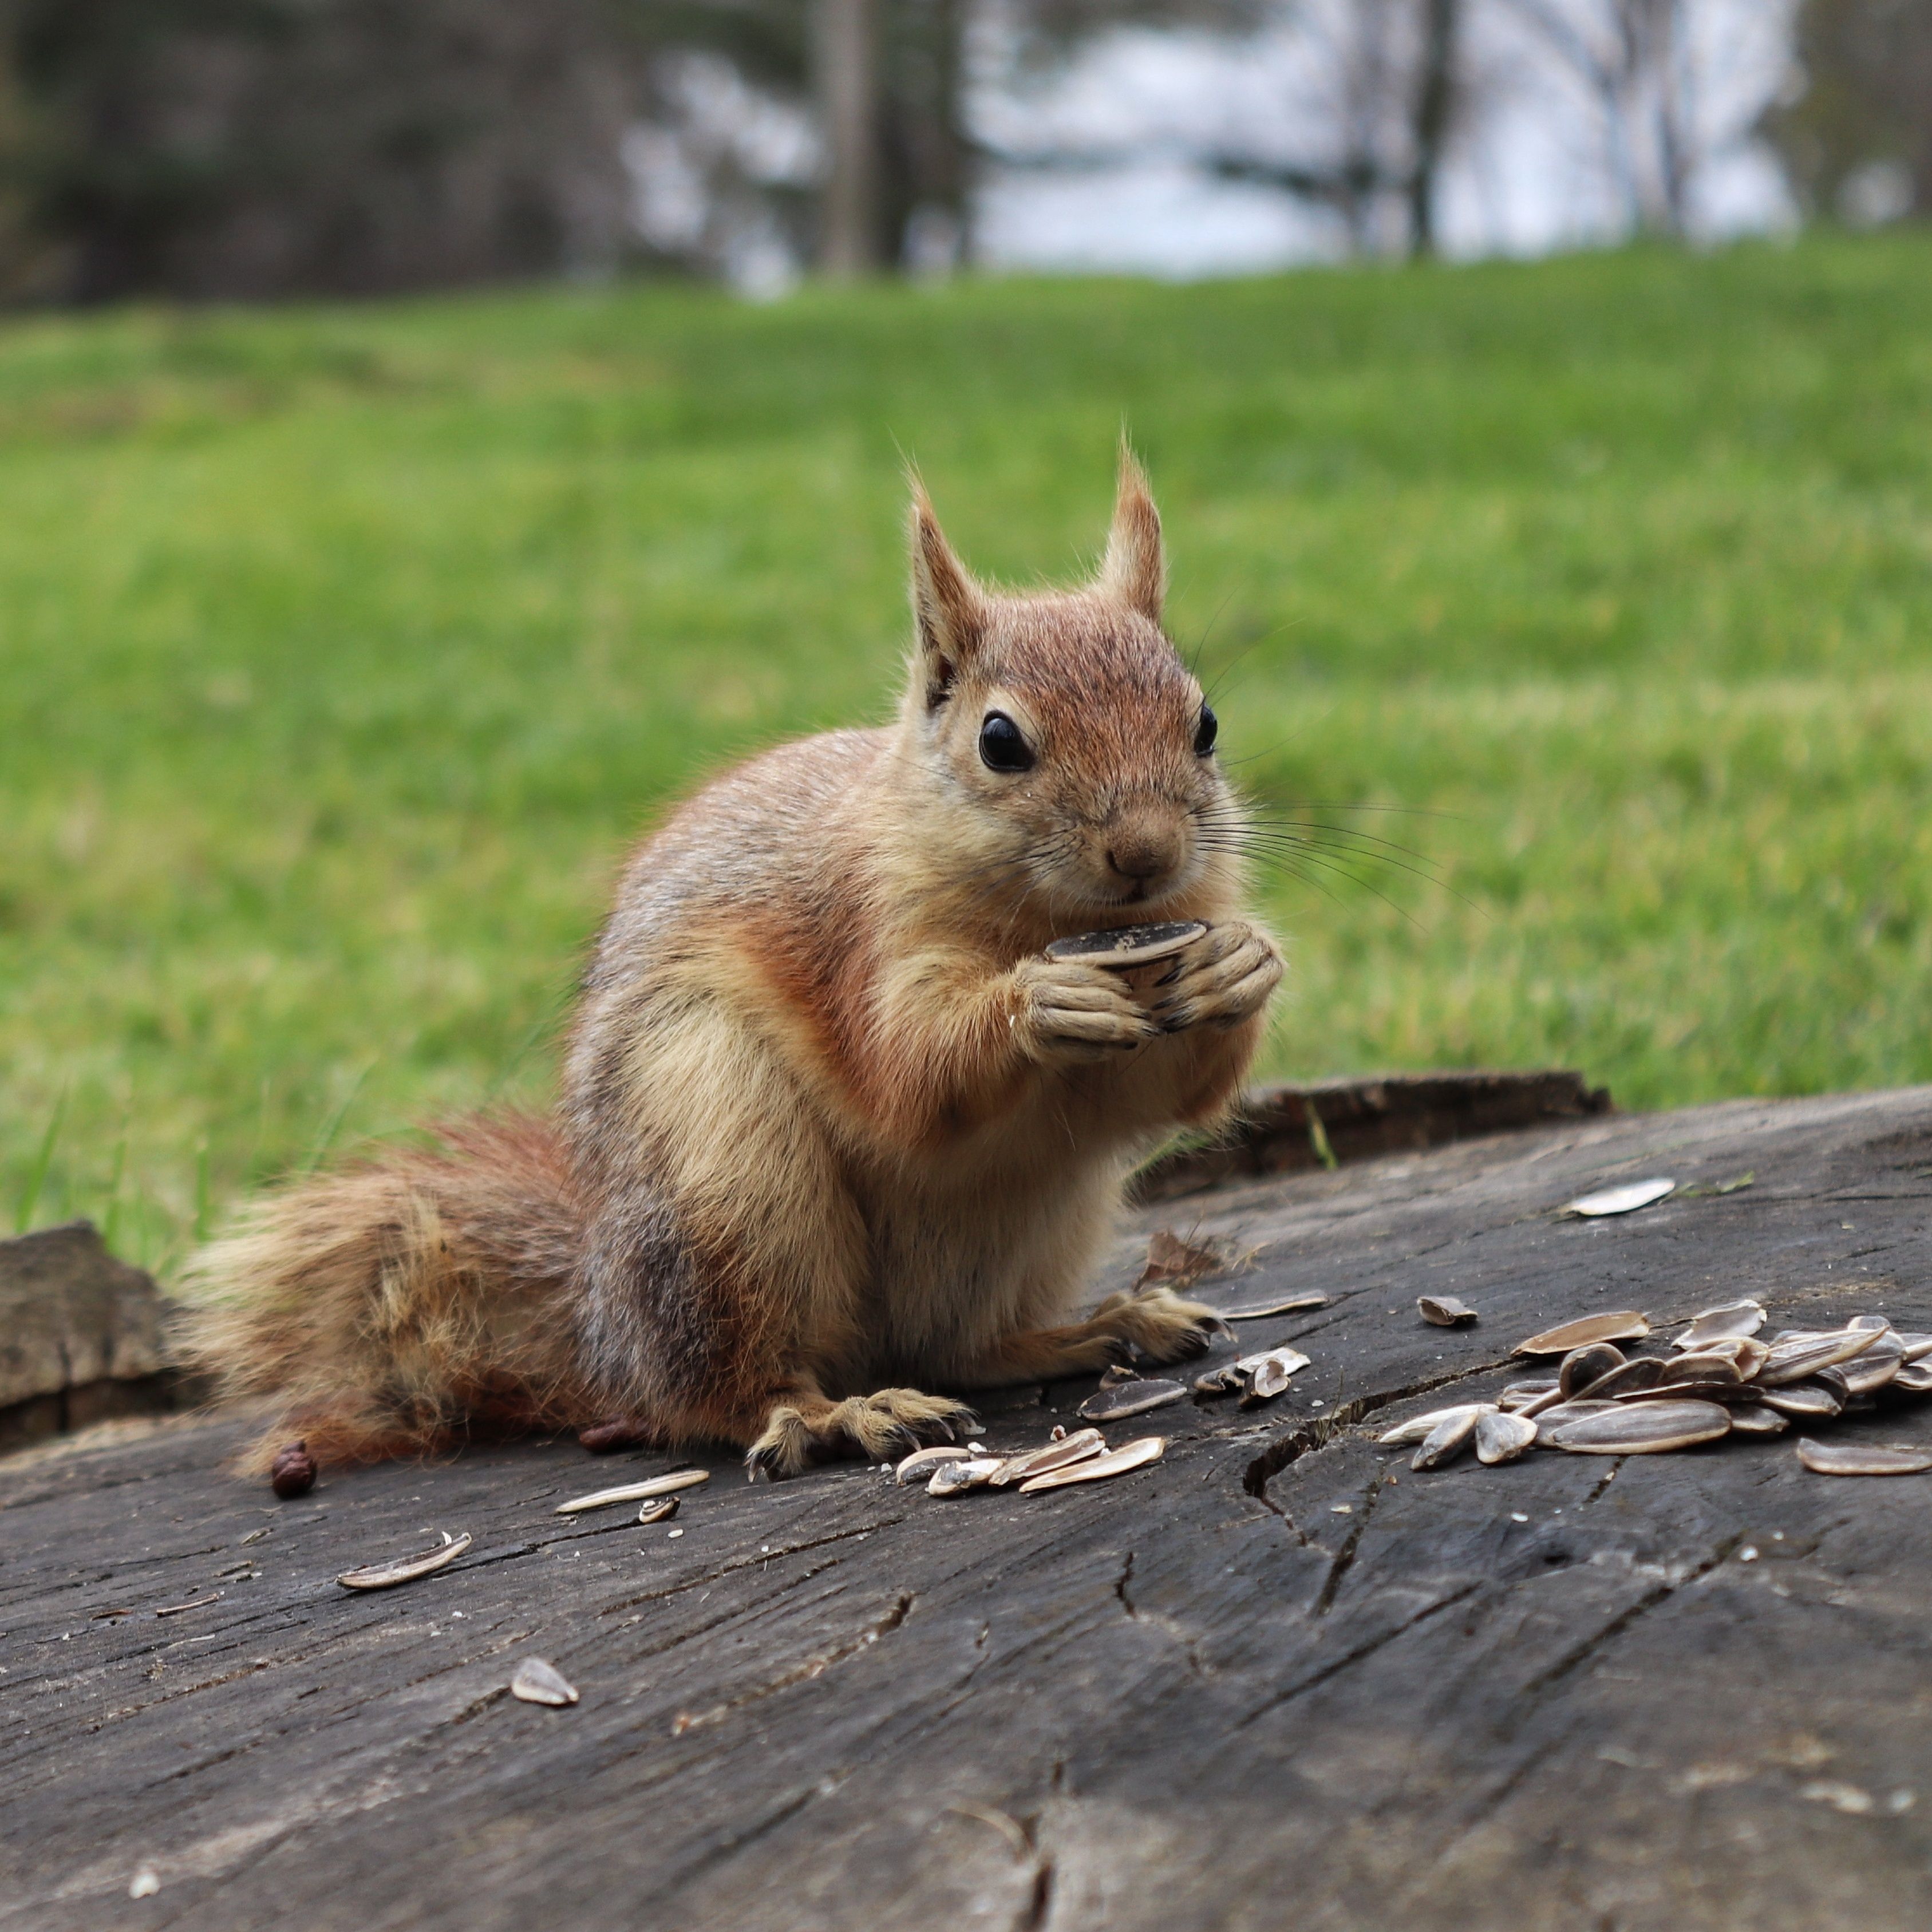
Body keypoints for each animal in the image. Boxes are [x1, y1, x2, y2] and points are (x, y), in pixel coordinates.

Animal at [185, 456, 1284, 1480]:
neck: (1058, 919)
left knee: (957, 1347)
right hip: (720, 1172)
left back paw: (1098, 1326)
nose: (1145, 852)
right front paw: (1037, 1001)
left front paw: (1241, 966)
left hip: (1036, 1220)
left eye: (1205, 725)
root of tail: (605, 1329)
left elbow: (1169, 1095)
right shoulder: (854, 932)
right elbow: (909, 1071)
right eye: (1000, 741)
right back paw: (836, 1412)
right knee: (732, 1388)